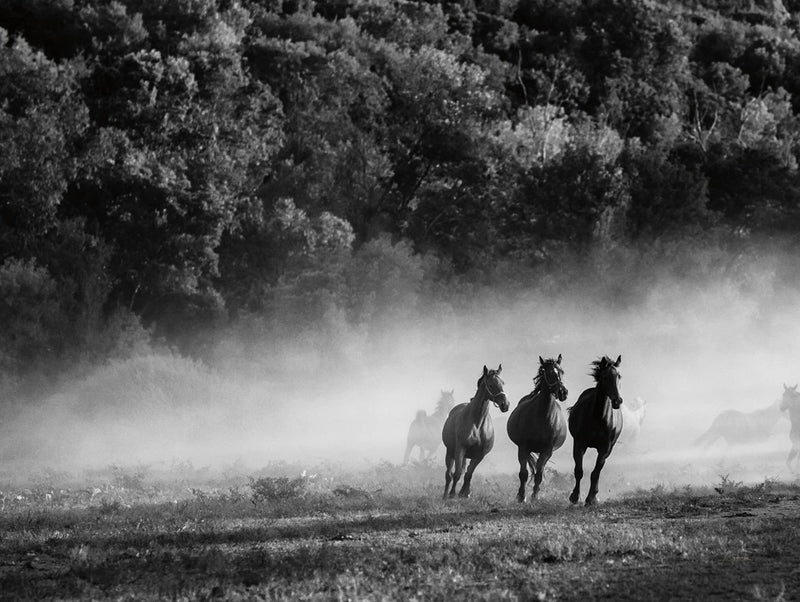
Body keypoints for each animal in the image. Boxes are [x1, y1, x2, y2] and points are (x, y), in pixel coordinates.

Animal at [442, 365, 509, 499]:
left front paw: (464, 493)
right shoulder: (460, 450)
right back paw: (445, 495)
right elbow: (457, 473)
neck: (477, 424)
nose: (505, 405)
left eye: (503, 383)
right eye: (491, 384)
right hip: (450, 452)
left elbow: (469, 474)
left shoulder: (479, 455)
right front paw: (452, 494)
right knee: (448, 474)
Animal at [506, 355, 568, 502]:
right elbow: (523, 473)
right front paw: (521, 497)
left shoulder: (547, 450)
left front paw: (535, 497)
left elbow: (539, 474)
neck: (542, 417)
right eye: (549, 373)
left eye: (561, 372)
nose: (563, 392)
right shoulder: (523, 448)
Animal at [568, 355, 623, 506]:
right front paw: (574, 496)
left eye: (619, 376)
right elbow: (579, 471)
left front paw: (591, 498)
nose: (617, 401)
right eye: (605, 377)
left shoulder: (605, 448)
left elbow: (596, 472)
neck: (598, 418)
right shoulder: (579, 444)